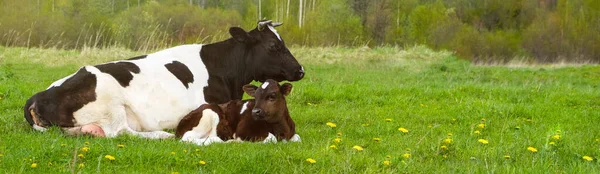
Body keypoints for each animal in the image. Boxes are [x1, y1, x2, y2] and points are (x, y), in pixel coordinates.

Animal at [23, 20, 304, 139]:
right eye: (273, 46)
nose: (300, 70)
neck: (222, 68)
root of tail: (37, 96)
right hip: (111, 105)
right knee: (120, 132)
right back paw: (162, 134)